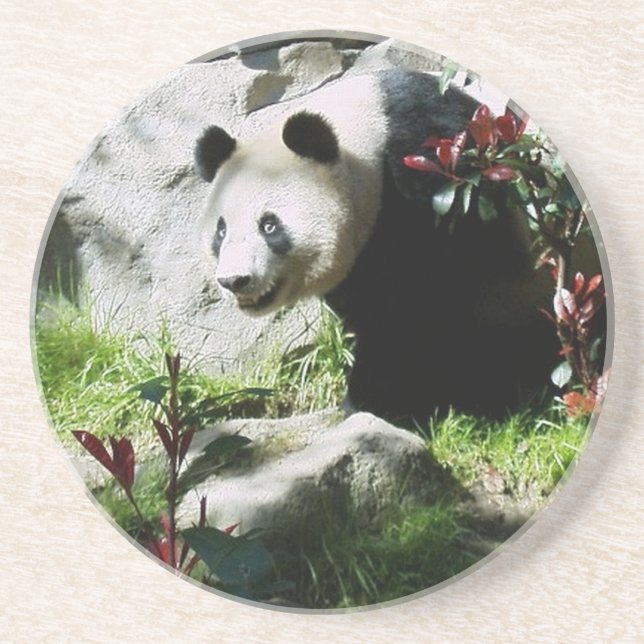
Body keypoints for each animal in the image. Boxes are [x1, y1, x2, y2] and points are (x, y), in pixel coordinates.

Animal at [193, 69, 601, 423]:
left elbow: (420, 307)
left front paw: (375, 402)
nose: (235, 280)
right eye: (221, 231)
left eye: (269, 225)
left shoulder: (435, 184)